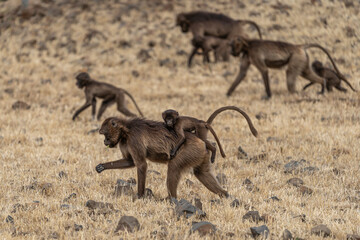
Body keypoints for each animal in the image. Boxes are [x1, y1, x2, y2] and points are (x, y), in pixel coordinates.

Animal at [97, 117, 229, 198]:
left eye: (105, 134)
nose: (104, 141)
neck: (126, 130)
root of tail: (200, 140)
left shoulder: (134, 139)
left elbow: (141, 165)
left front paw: (140, 196)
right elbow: (130, 162)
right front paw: (102, 166)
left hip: (191, 150)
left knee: (173, 168)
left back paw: (173, 199)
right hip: (200, 154)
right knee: (202, 173)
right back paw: (225, 195)